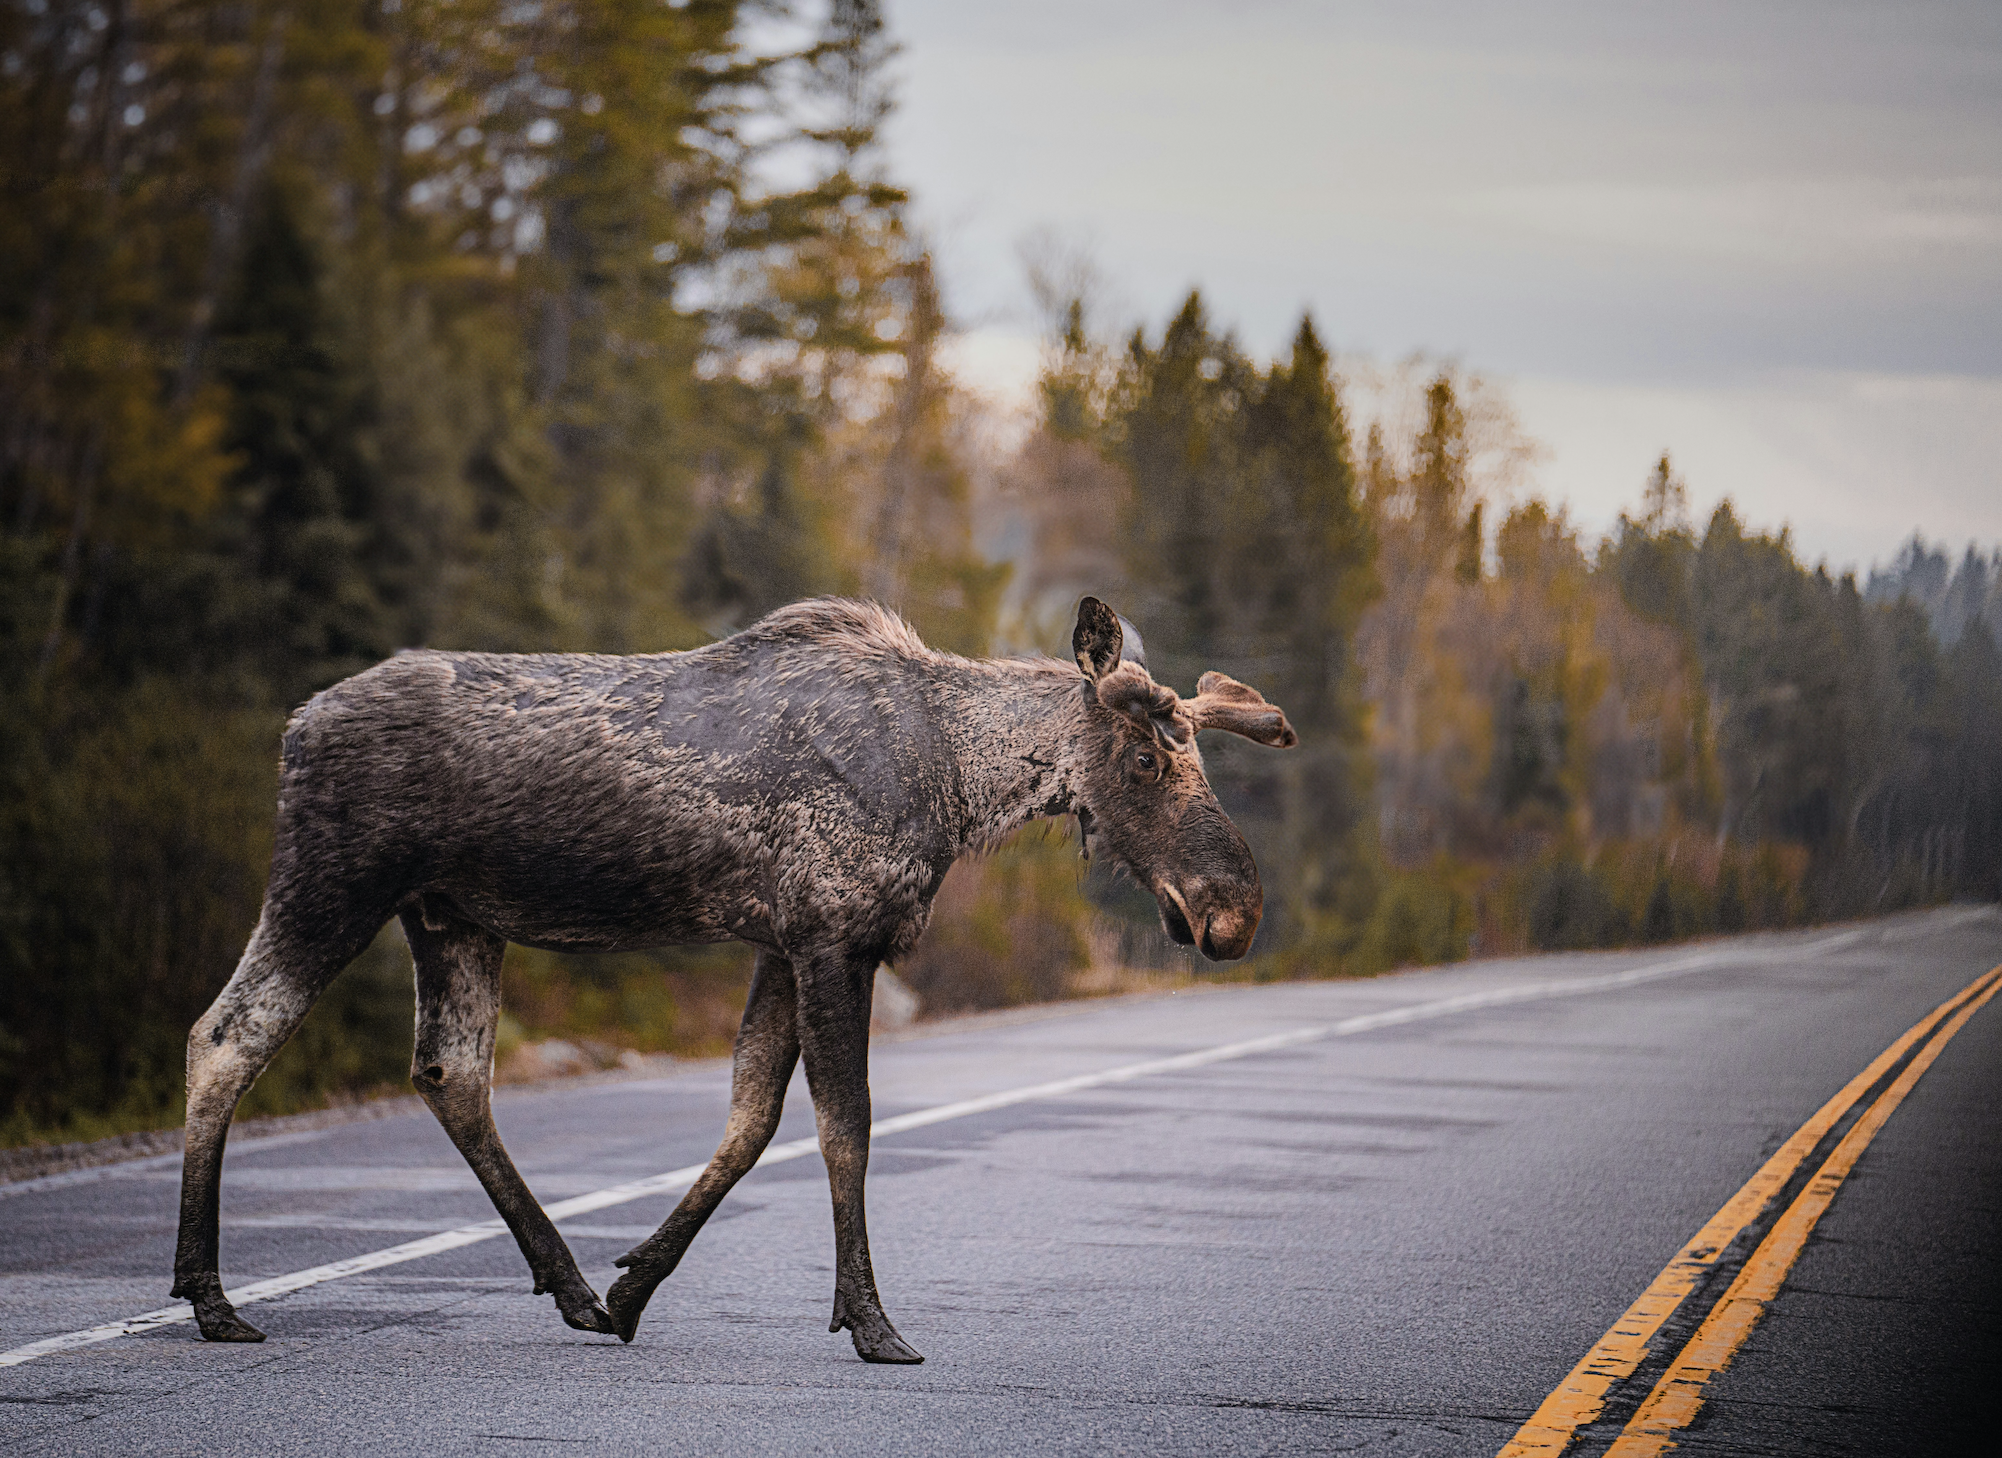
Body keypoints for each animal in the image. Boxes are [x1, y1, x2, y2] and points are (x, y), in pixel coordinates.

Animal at [171, 596, 1297, 1363]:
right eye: (1146, 761)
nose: (1232, 912)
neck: (958, 781)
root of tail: (293, 727)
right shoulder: (835, 938)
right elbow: (844, 1129)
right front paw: (870, 1321)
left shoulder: (783, 942)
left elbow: (750, 1118)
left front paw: (635, 1288)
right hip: (333, 883)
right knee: (224, 1034)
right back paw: (211, 1298)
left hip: (452, 916)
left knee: (451, 1073)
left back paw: (570, 1285)